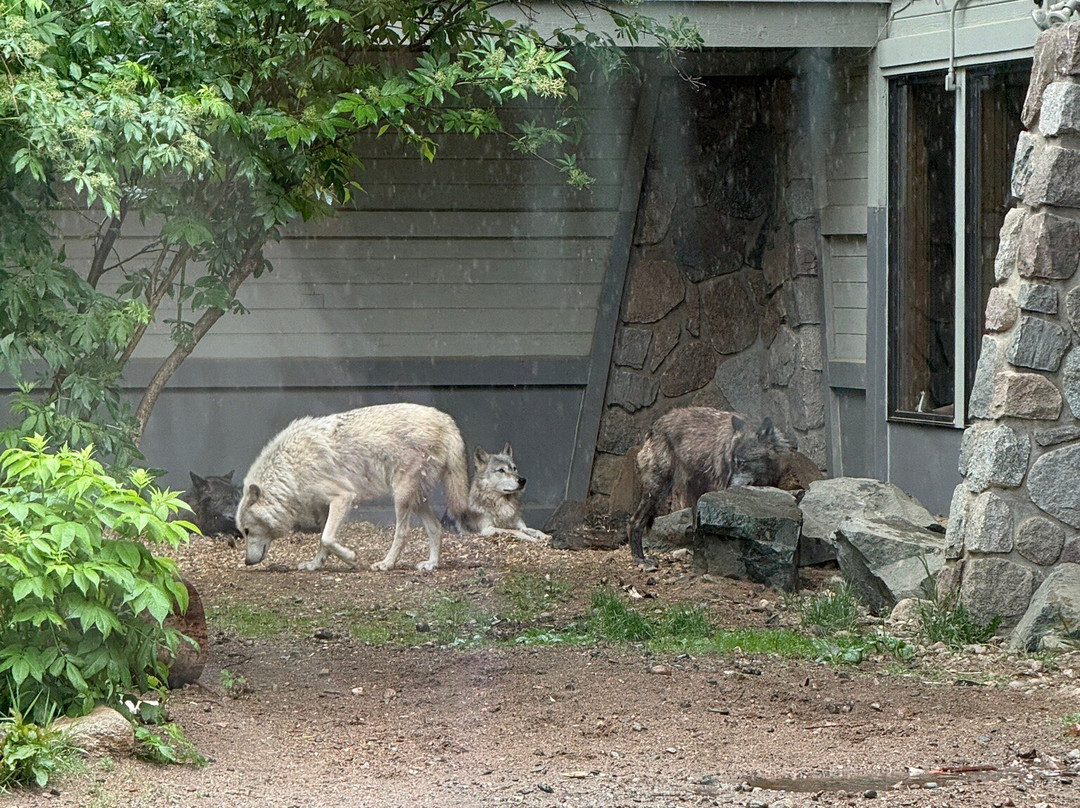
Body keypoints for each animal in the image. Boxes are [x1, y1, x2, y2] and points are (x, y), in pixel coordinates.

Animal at [236, 403, 470, 572]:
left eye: (247, 531)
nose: (247, 562)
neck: (289, 471)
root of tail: (446, 420)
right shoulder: (325, 507)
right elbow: (323, 541)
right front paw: (314, 564)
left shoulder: (343, 497)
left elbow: (327, 538)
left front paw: (350, 558)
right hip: (417, 499)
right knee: (435, 528)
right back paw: (431, 564)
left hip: (401, 497)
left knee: (403, 533)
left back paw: (386, 564)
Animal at [626, 406, 794, 566]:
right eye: (731, 463)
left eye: (742, 463)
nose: (728, 486)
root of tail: (654, 426)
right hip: (658, 491)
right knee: (635, 521)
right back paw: (640, 558)